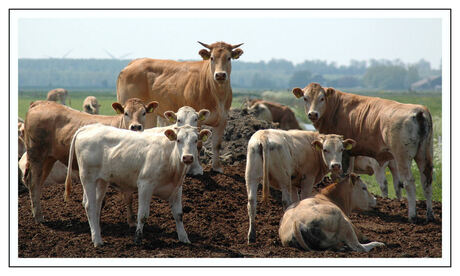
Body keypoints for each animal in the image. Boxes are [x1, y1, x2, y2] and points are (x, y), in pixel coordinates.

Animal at [22, 97, 158, 222]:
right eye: (126, 113)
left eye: (144, 112)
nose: (136, 127)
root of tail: (39, 103)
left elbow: (127, 197)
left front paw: (131, 220)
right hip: (37, 155)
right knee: (34, 183)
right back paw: (39, 217)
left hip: (49, 159)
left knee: (38, 183)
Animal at [63, 124, 211, 247]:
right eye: (178, 140)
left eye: (195, 140)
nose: (187, 157)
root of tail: (89, 127)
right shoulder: (145, 184)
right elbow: (143, 215)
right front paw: (138, 238)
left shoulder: (177, 188)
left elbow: (179, 214)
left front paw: (184, 237)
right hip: (88, 178)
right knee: (90, 205)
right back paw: (97, 240)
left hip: (101, 180)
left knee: (96, 204)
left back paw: (97, 231)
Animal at [115, 40, 244, 172]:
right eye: (212, 58)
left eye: (228, 58)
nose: (220, 75)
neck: (218, 95)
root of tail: (133, 63)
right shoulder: (197, 120)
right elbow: (198, 145)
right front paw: (196, 168)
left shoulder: (223, 118)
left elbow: (217, 144)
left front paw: (217, 167)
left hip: (149, 114)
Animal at [292, 82, 434, 222]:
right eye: (305, 98)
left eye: (322, 98)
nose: (313, 114)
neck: (336, 108)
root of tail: (419, 111)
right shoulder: (351, 153)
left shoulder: (344, 153)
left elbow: (340, 175)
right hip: (425, 155)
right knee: (426, 181)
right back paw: (430, 215)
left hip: (402, 157)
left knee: (409, 182)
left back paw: (412, 215)